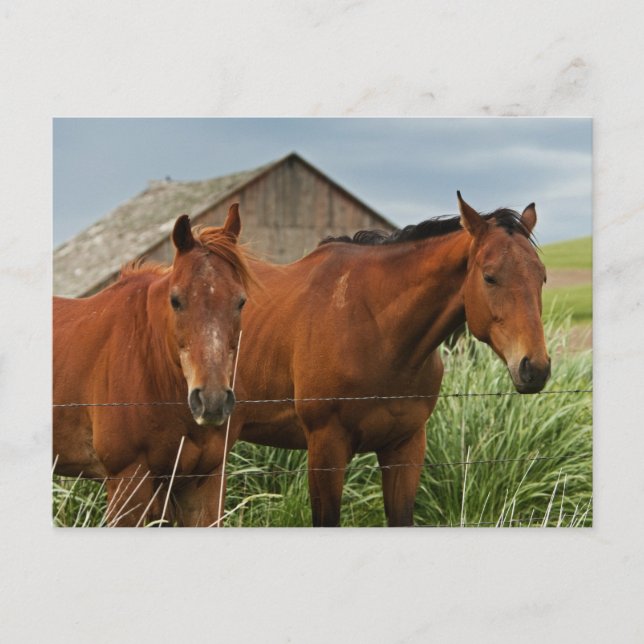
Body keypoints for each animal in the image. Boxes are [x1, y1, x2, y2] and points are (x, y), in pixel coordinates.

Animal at [232, 193, 550, 527]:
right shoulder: (325, 448)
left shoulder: (405, 448)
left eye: (541, 277)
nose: (535, 367)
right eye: (489, 277)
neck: (375, 329)